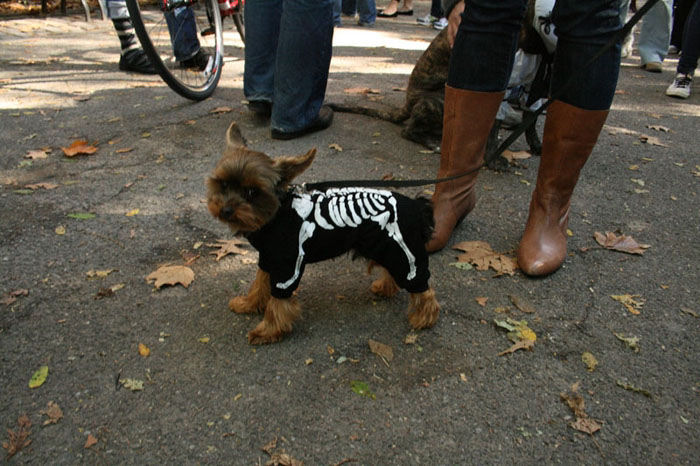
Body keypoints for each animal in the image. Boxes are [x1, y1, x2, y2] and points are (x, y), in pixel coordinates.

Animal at [205, 122, 440, 344]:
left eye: (252, 192)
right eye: (223, 184)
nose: (226, 210)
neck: (275, 214)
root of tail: (417, 206)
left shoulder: (288, 266)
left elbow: (278, 301)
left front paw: (268, 330)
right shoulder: (268, 258)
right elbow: (259, 284)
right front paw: (249, 304)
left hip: (402, 248)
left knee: (422, 286)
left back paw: (424, 318)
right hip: (383, 247)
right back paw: (385, 288)